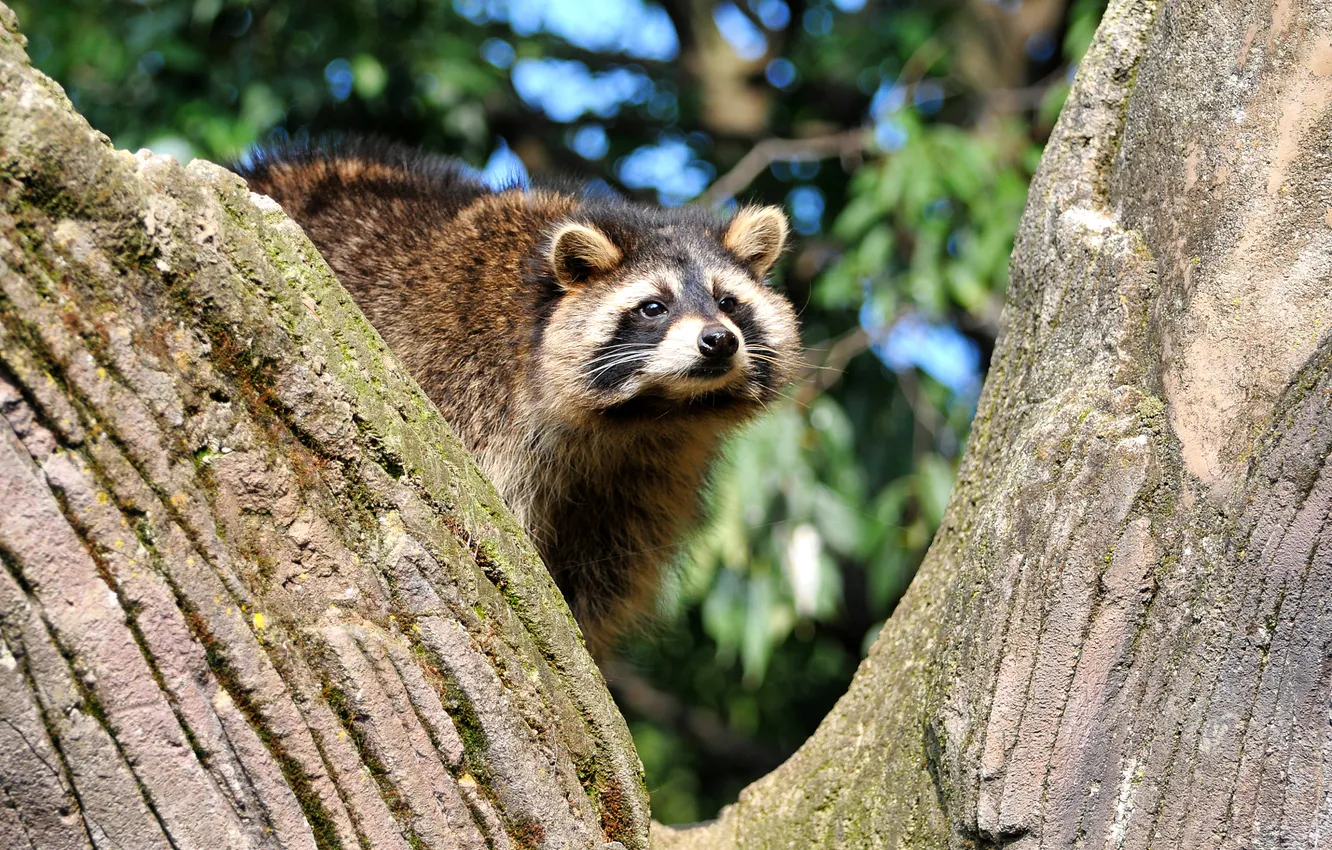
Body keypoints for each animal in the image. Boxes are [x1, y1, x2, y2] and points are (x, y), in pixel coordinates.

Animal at [239, 139, 801, 647]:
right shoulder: (470, 388)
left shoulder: (649, 473)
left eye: (728, 302)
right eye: (653, 307)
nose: (719, 340)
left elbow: (605, 567)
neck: (648, 411)